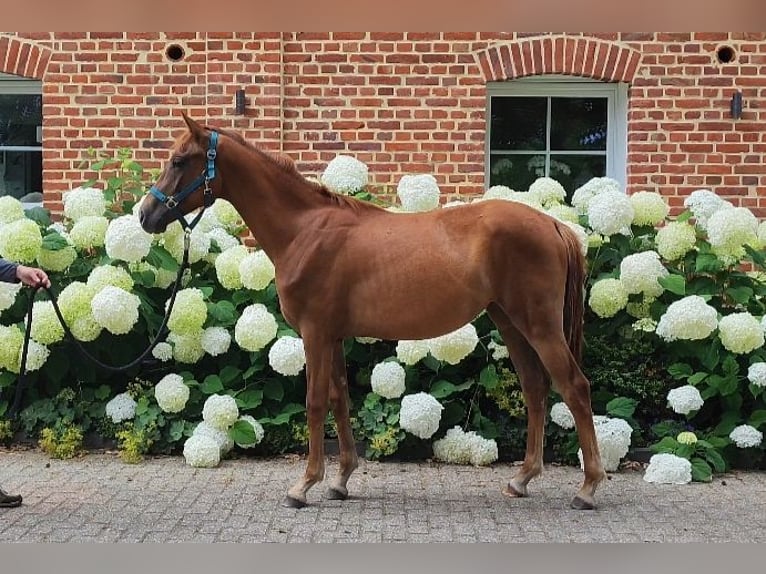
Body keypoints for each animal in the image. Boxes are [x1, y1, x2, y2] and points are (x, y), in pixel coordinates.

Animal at [139, 113, 606, 510]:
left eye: (179, 161)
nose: (145, 215)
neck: (305, 231)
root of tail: (553, 225)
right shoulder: (333, 335)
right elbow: (339, 399)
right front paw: (340, 480)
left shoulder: (314, 333)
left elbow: (314, 402)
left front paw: (303, 486)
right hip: (511, 322)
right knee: (535, 389)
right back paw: (522, 479)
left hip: (539, 325)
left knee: (575, 387)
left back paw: (587, 488)